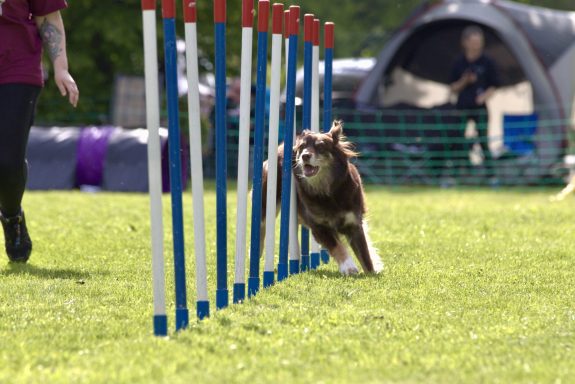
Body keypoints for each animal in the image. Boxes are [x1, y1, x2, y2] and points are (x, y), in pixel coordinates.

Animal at [264, 121, 384, 274]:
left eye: (320, 147)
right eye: (302, 147)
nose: (305, 156)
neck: (329, 191)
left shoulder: (354, 224)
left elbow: (364, 254)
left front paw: (371, 272)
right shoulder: (319, 227)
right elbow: (337, 246)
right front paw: (348, 266)